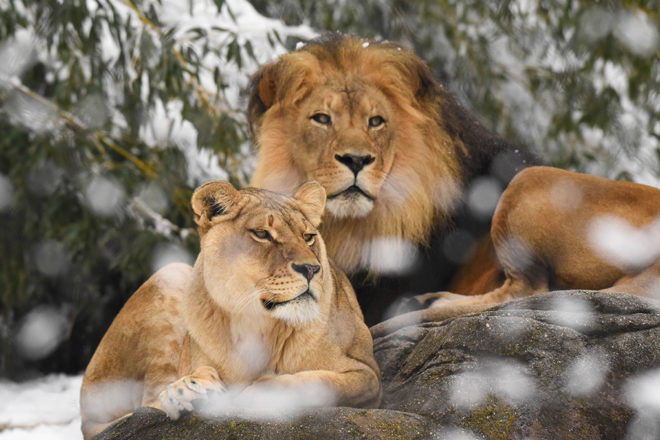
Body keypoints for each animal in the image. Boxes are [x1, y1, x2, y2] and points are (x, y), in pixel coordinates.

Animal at [81, 180, 382, 440]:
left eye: (308, 237)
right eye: (262, 234)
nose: (311, 269)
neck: (259, 323)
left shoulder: (367, 376)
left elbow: (313, 383)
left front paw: (252, 394)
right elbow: (199, 371)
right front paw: (187, 390)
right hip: (172, 271)